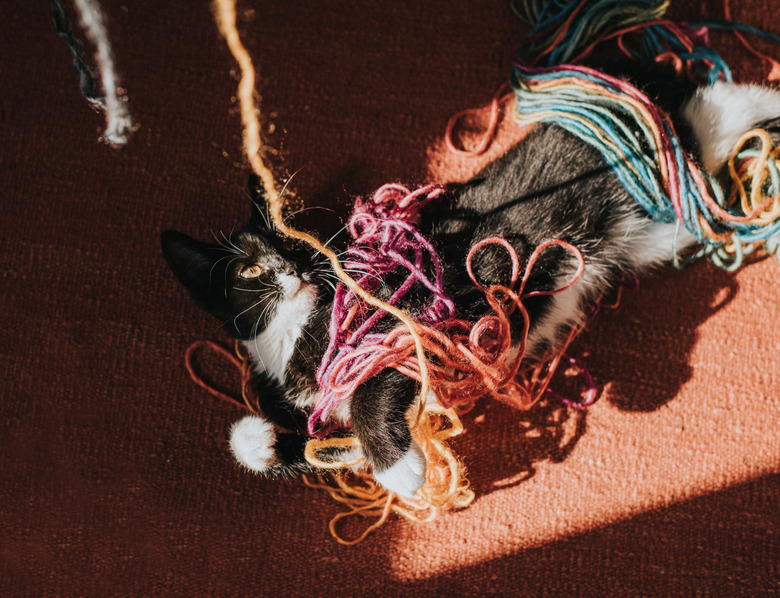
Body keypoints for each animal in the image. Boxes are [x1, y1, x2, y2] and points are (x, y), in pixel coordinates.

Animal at [160, 81, 780, 502]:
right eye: (250, 271)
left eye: (295, 242)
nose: (293, 267)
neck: (291, 331)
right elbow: (326, 446)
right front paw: (260, 440)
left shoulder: (415, 311)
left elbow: (371, 389)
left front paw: (400, 471)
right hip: (653, 230)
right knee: (698, 178)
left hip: (640, 183)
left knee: (704, 123)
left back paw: (755, 101)